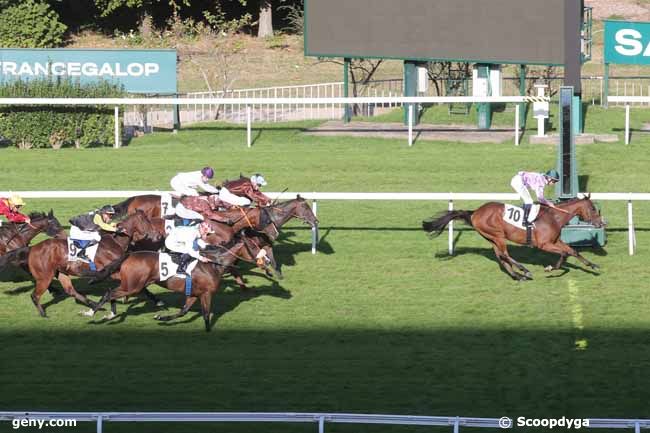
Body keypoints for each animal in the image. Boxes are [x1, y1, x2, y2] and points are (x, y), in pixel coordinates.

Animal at [0, 211, 161, 316]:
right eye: (146, 221)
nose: (158, 235)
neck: (115, 241)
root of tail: (32, 248)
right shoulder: (114, 272)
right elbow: (140, 287)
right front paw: (156, 301)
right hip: (45, 276)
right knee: (35, 295)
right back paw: (43, 313)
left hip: (61, 272)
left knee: (70, 291)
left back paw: (94, 305)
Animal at [80, 233, 278, 330]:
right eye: (254, 247)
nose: (268, 261)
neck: (214, 264)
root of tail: (129, 254)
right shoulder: (206, 294)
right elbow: (206, 315)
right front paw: (208, 331)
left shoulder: (194, 294)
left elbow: (183, 311)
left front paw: (162, 317)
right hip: (133, 286)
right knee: (109, 293)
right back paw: (91, 313)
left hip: (129, 284)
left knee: (110, 292)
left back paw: (109, 314)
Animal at [420, 196, 604, 280]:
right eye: (593, 209)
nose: (600, 223)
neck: (554, 217)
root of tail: (475, 213)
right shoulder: (544, 244)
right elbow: (565, 254)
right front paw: (550, 268)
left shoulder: (555, 241)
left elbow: (573, 251)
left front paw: (593, 266)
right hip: (498, 235)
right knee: (505, 255)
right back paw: (524, 271)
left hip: (492, 238)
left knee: (501, 257)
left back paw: (517, 275)